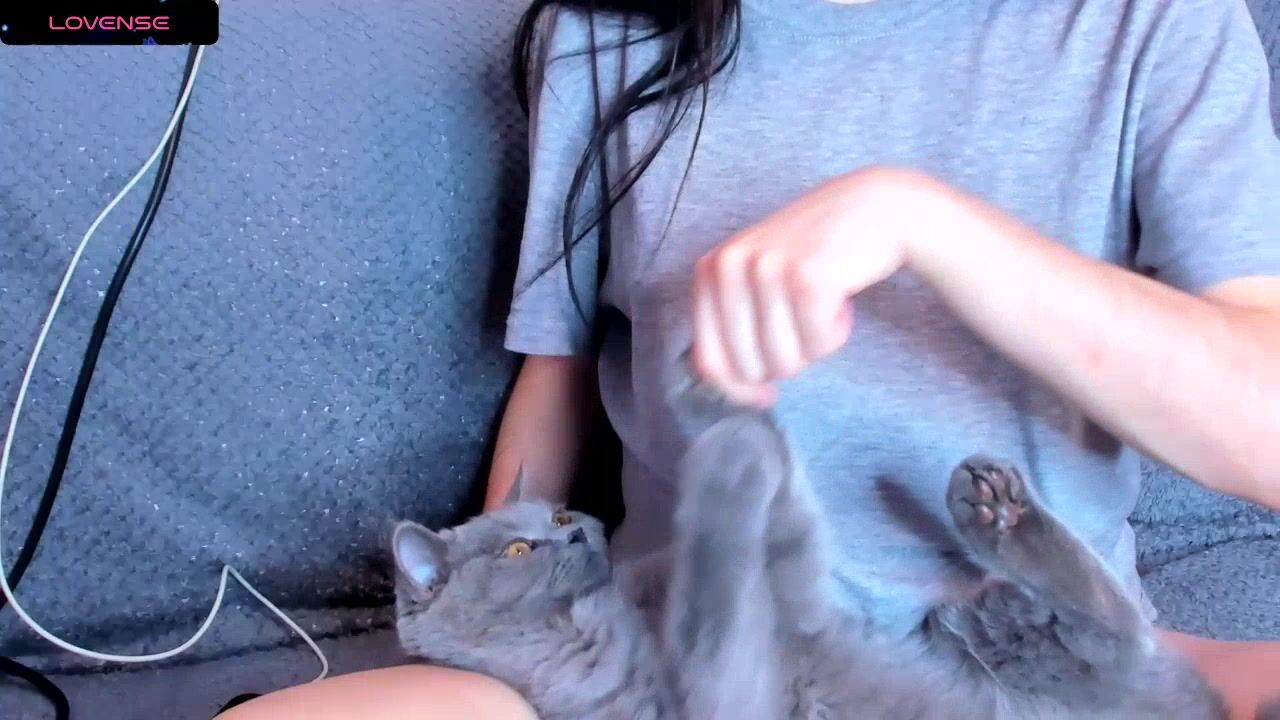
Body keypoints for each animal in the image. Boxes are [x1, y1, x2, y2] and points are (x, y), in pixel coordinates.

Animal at [391, 407, 1237, 719]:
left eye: (563, 514)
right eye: (517, 548)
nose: (577, 535)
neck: (611, 611)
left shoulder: (797, 612)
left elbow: (781, 558)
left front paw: (752, 426)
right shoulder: (718, 701)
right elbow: (714, 613)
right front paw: (732, 456)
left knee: (1111, 622)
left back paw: (993, 506)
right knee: (1113, 629)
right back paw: (993, 513)